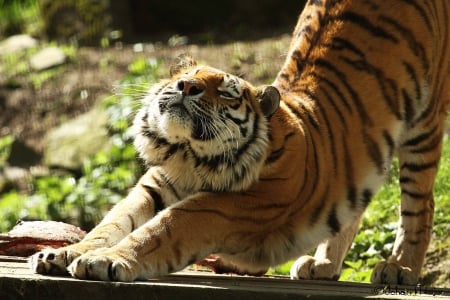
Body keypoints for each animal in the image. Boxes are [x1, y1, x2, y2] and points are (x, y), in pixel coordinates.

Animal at [29, 0, 448, 284]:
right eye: (186, 76)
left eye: (226, 92)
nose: (186, 86)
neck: (187, 155)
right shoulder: (155, 187)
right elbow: (112, 222)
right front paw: (63, 253)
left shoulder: (234, 205)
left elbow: (162, 229)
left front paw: (102, 261)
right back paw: (322, 265)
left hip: (425, 124)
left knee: (419, 205)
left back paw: (399, 268)